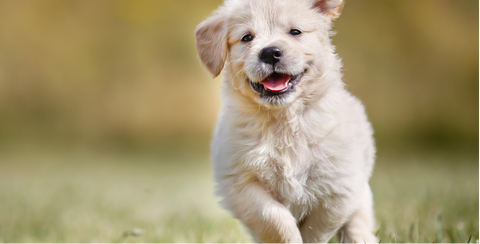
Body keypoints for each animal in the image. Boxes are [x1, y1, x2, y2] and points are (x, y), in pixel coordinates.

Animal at [195, 0, 378, 243]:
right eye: (246, 37)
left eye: (295, 32)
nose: (270, 53)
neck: (284, 120)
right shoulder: (240, 182)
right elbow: (273, 218)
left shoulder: (338, 189)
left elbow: (315, 230)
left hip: (361, 197)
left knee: (358, 226)